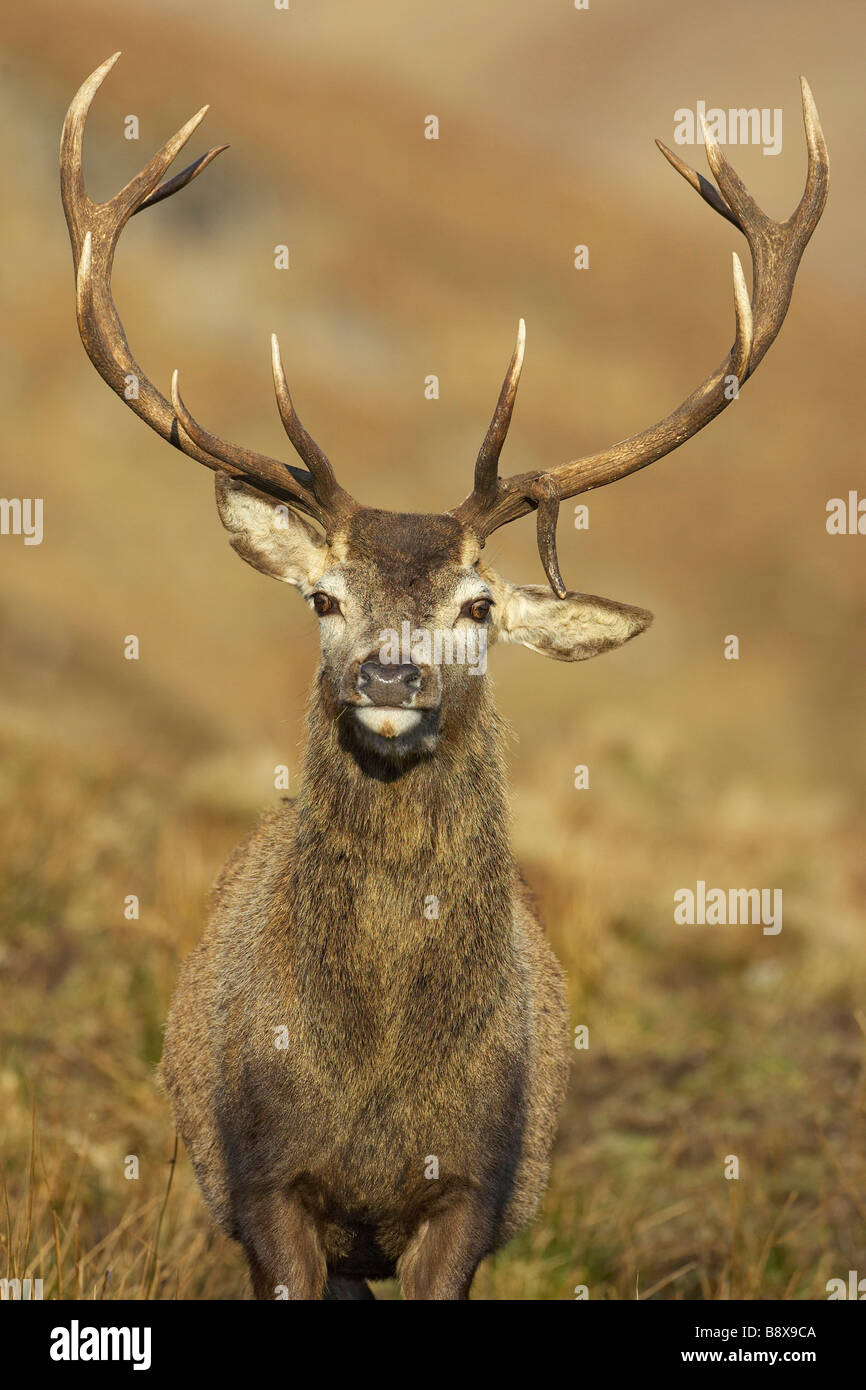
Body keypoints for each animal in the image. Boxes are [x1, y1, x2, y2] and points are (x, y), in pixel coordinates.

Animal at [61, 55, 827, 1299]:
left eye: (479, 605)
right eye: (322, 597)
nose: (389, 676)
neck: (378, 1086)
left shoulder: (476, 1184)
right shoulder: (263, 1179)